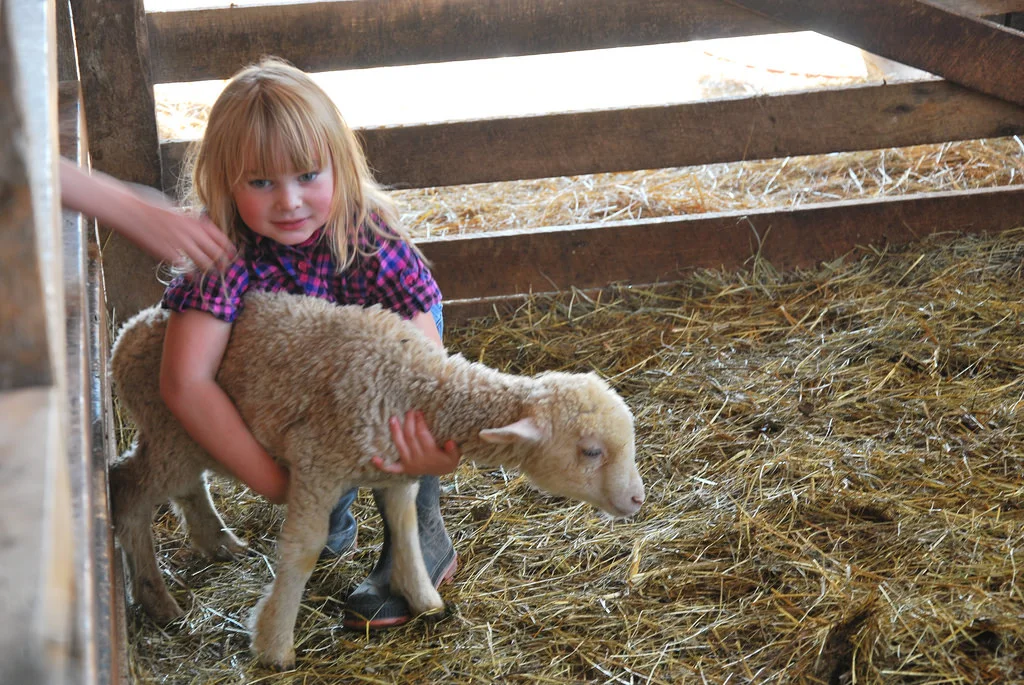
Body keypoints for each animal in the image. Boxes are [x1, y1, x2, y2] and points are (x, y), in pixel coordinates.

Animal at [109, 289, 645, 670]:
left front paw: (424, 599)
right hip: (171, 425)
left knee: (183, 486)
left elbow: (404, 527)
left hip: (183, 436)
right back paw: (158, 599)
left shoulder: (397, 470)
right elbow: (304, 549)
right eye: (591, 451)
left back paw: (216, 542)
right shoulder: (318, 462)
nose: (638, 499)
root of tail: (128, 332)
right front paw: (274, 644)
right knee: (127, 486)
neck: (412, 384)